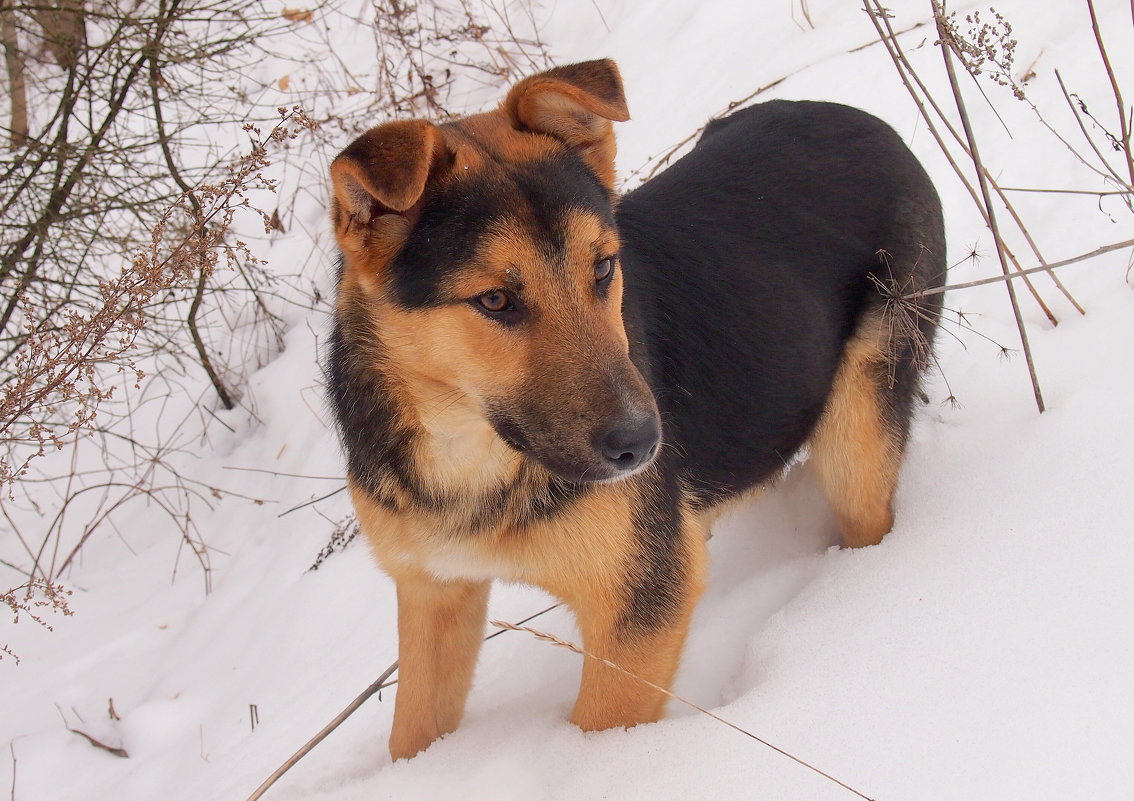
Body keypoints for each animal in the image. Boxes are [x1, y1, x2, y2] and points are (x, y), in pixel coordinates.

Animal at [328, 59, 948, 757]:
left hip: (856, 437)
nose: (645, 445)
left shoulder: (639, 603)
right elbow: (412, 732)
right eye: (494, 301)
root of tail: (867, 121)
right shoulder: (434, 593)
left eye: (602, 269)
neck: (467, 454)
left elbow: (600, 732)